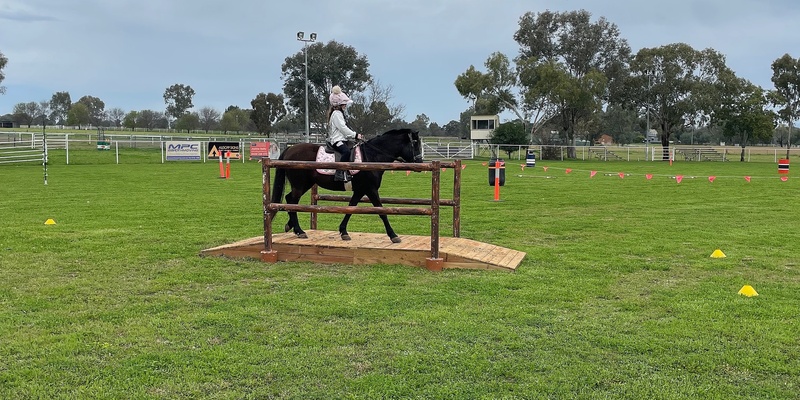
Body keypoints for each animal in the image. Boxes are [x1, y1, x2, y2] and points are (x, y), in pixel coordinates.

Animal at [270, 129, 422, 241]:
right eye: (415, 143)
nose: (420, 163)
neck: (372, 156)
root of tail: (289, 149)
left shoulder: (360, 190)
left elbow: (351, 208)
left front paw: (343, 231)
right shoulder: (371, 189)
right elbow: (381, 211)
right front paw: (393, 235)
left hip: (305, 184)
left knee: (290, 200)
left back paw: (291, 226)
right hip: (300, 185)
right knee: (292, 201)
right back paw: (299, 231)